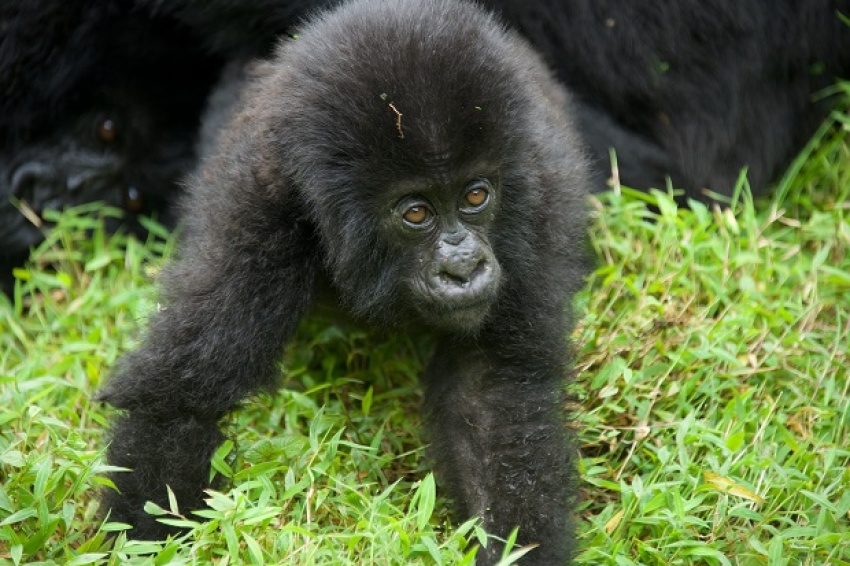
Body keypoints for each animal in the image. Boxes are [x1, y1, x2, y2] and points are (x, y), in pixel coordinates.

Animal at [97, 0, 588, 564]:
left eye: (476, 196)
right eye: (416, 212)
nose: (464, 268)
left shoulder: (539, 203)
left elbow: (492, 401)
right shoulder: (259, 202)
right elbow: (182, 394)